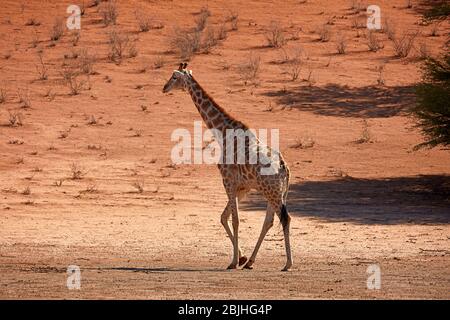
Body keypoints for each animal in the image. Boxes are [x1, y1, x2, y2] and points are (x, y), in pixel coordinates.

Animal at [162, 62, 292, 270]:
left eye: (174, 77)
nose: (164, 88)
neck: (222, 132)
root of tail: (284, 168)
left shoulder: (228, 181)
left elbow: (236, 220)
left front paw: (233, 262)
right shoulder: (242, 187)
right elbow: (224, 217)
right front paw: (242, 258)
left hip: (271, 191)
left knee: (284, 218)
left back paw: (288, 263)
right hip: (276, 192)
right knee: (270, 221)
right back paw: (251, 262)